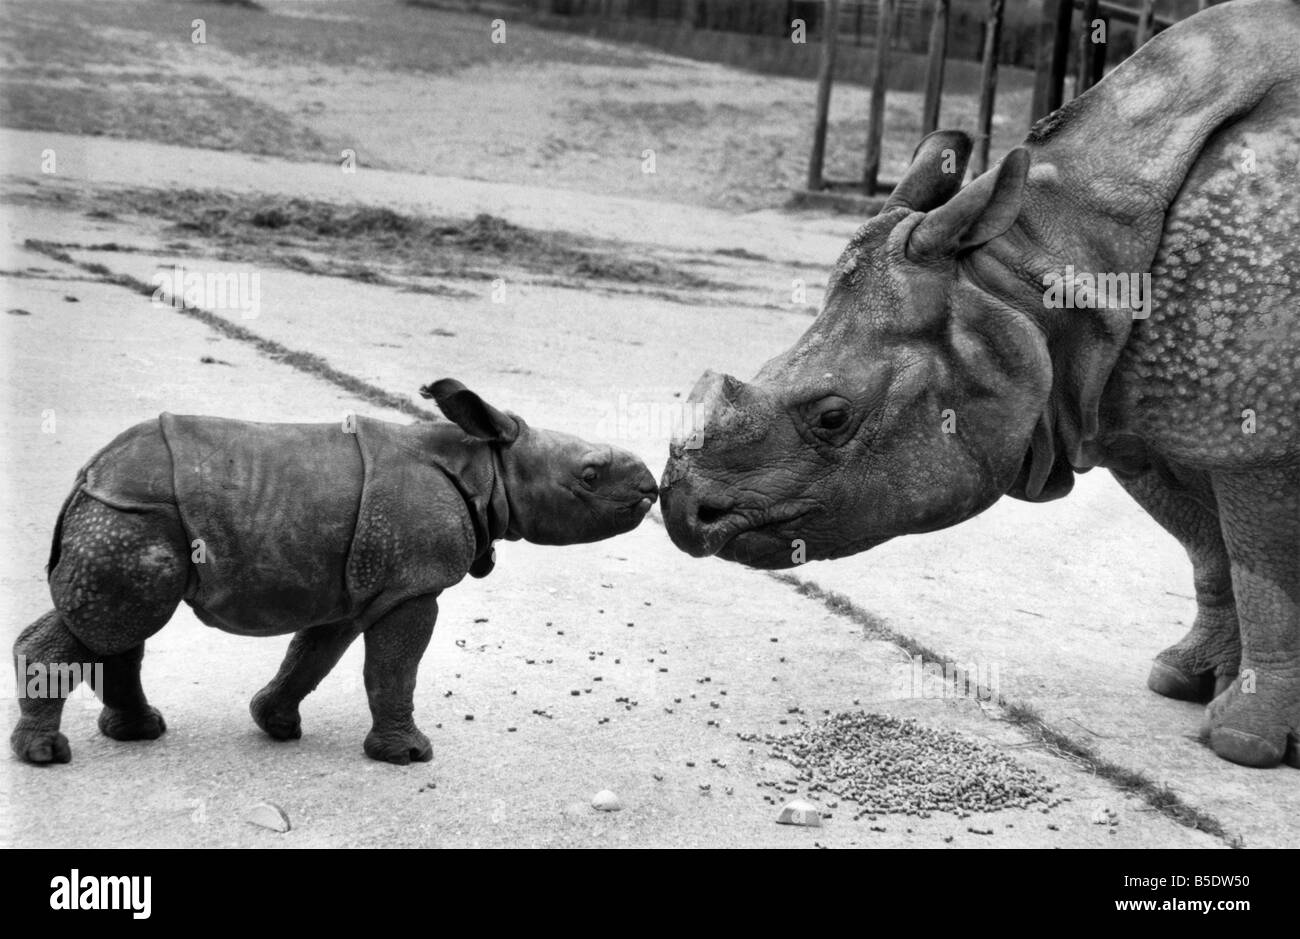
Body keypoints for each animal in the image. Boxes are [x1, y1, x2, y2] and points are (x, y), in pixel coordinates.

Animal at [12, 379, 660, 759]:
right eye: (590, 476)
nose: (652, 488)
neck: (488, 466)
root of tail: (86, 475)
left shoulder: (358, 583)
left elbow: (314, 653)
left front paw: (275, 726)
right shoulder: (412, 585)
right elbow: (393, 668)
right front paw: (409, 755)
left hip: (132, 513)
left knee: (122, 625)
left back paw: (140, 732)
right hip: (134, 514)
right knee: (120, 618)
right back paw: (47, 756)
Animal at [665, 0, 1294, 764]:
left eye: (832, 417)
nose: (682, 512)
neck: (1044, 267)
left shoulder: (1252, 427)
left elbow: (1264, 568)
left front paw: (1242, 743)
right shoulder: (1136, 406)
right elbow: (1206, 545)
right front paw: (1182, 682)